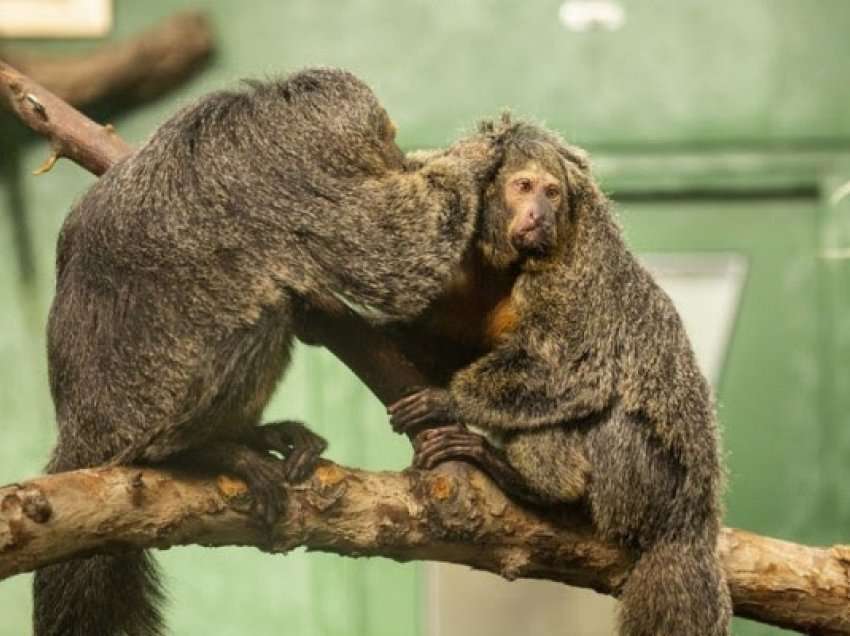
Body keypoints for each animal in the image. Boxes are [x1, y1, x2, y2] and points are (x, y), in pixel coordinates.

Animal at [36, 68, 504, 636]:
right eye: (388, 139)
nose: (396, 156)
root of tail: (81, 437)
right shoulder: (297, 185)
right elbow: (400, 258)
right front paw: (475, 158)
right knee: (259, 316)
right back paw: (204, 451)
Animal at [388, 118, 732, 636]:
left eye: (552, 192)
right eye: (523, 186)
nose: (538, 213)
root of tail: (694, 520)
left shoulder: (573, 272)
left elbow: (577, 371)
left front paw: (448, 399)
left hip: (650, 484)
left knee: (606, 417)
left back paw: (535, 485)